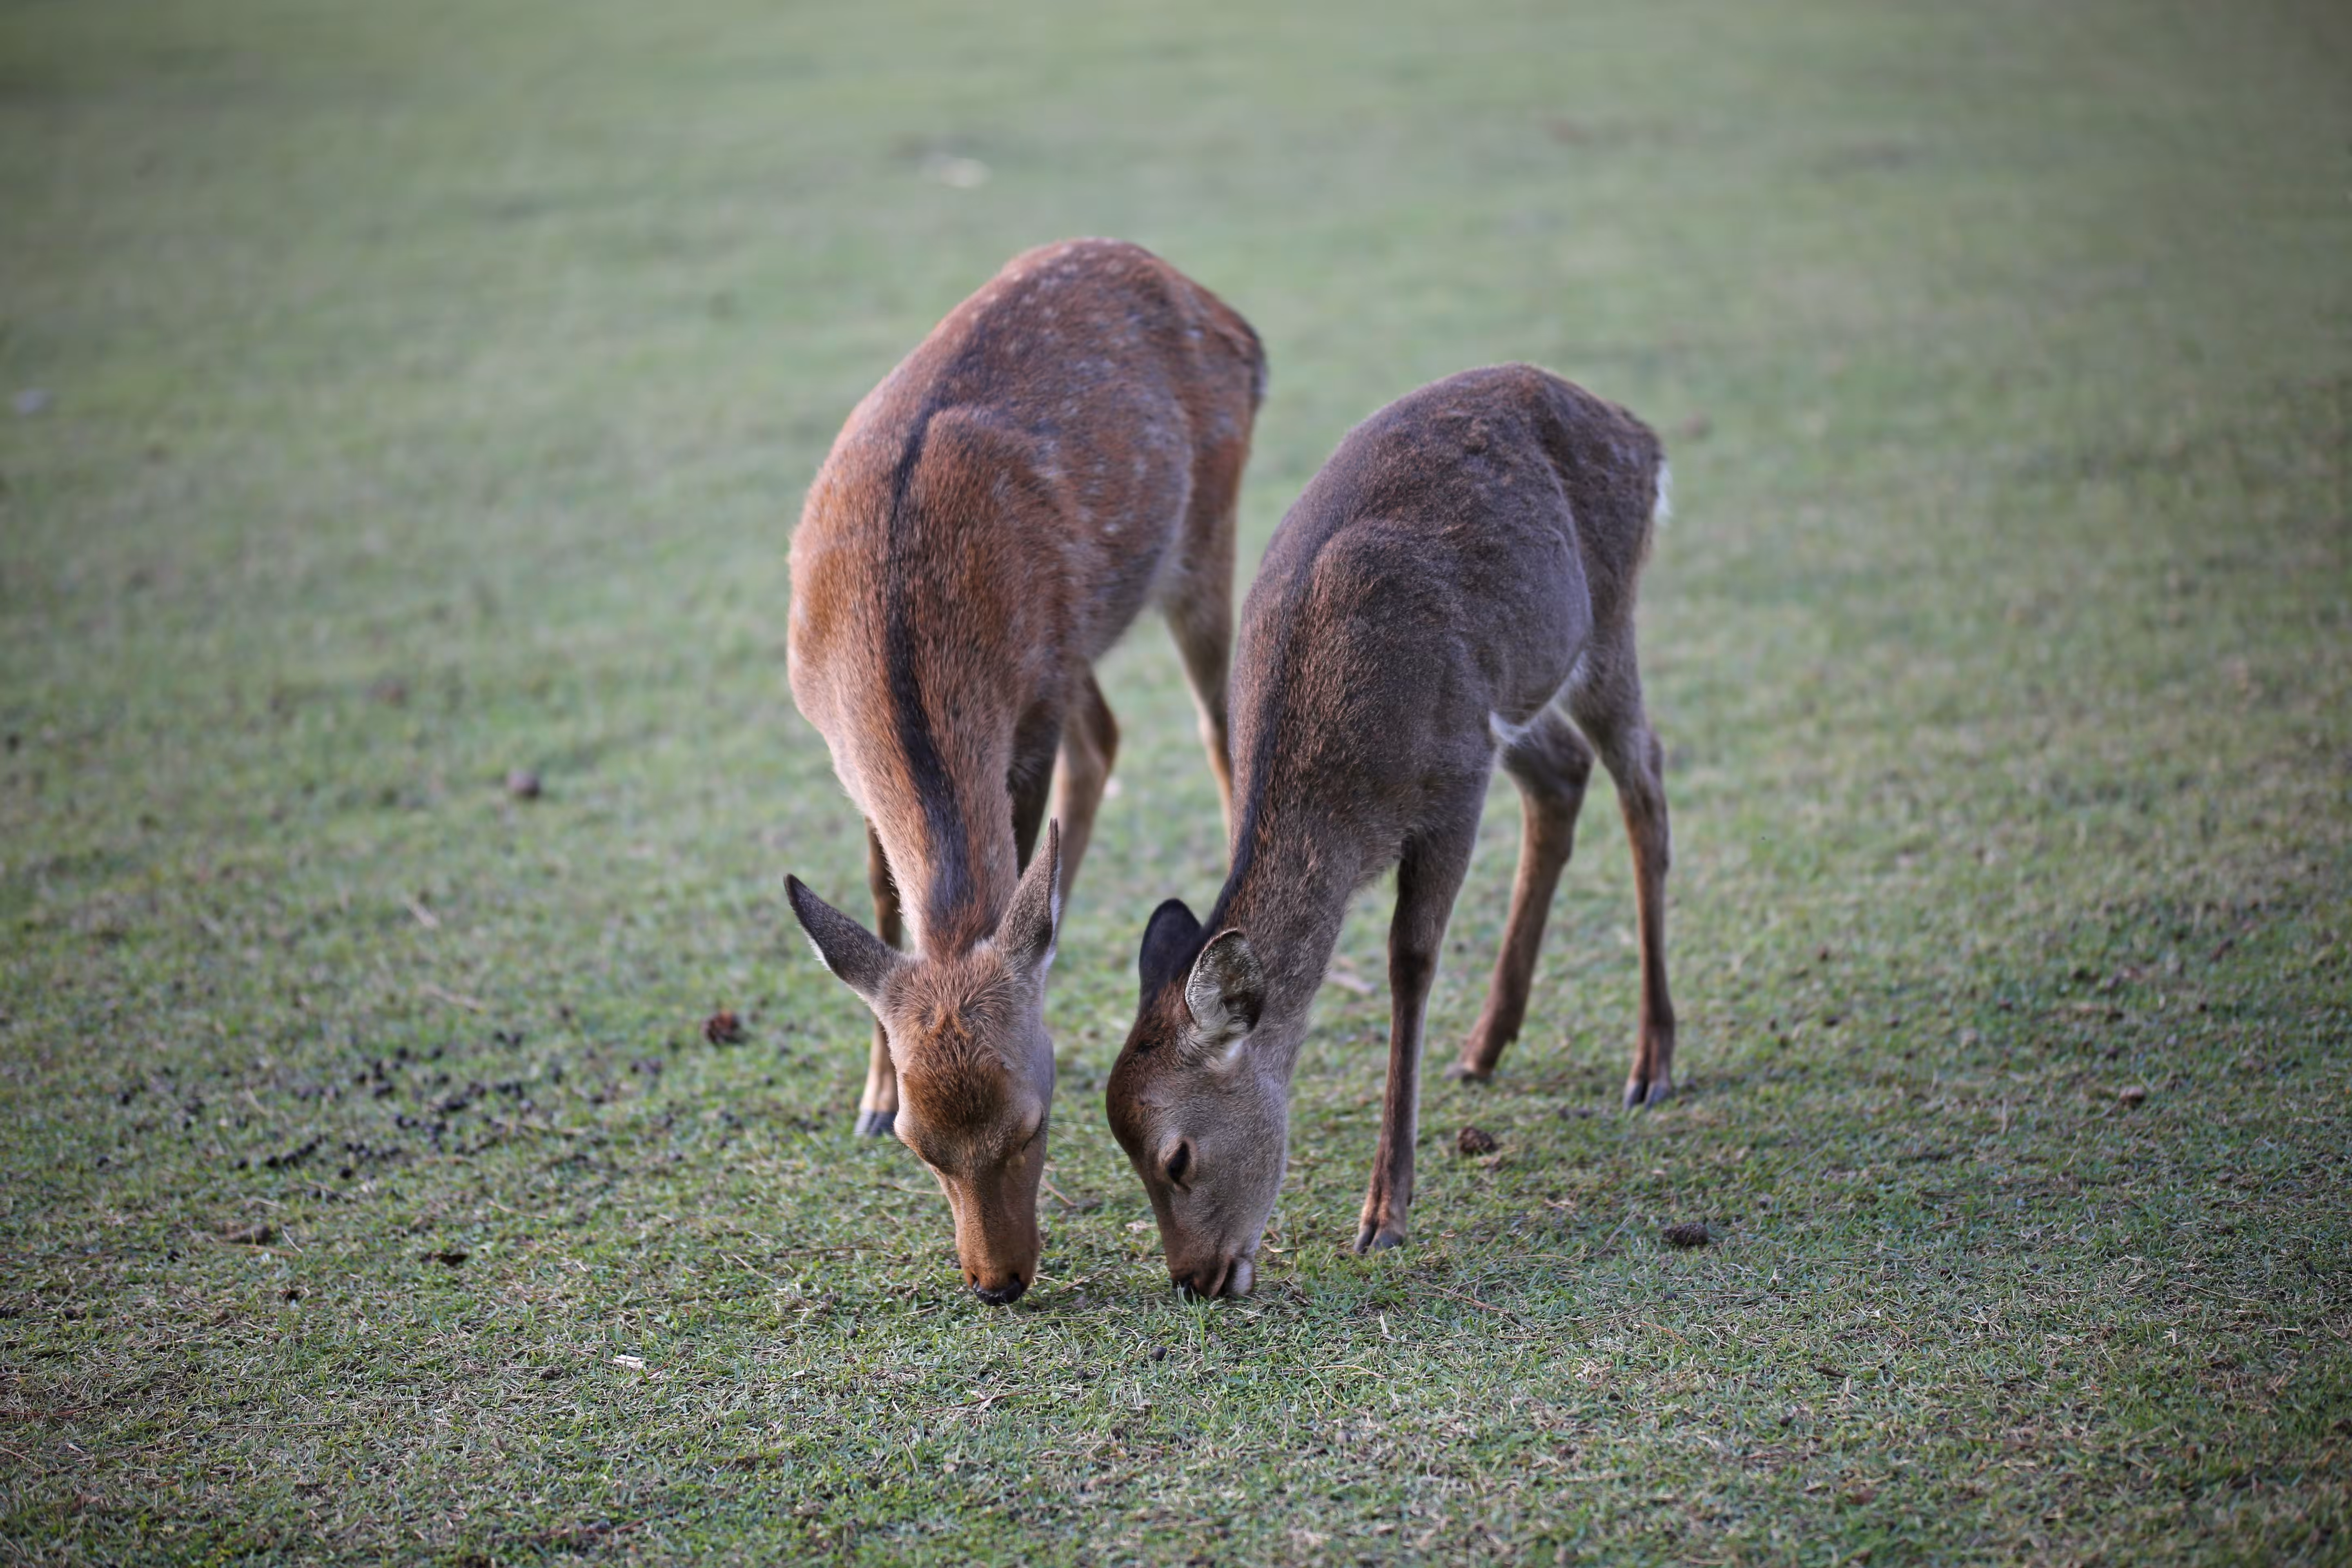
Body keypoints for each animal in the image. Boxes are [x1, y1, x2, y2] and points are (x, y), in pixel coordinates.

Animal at [782, 239, 1264, 1305]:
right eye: (919, 1144)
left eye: (1033, 1124)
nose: (996, 1280)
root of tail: (1226, 311)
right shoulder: (837, 747)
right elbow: (880, 894)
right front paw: (868, 1090)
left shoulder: (1030, 705)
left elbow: (1014, 845)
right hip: (1080, 633)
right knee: (1110, 734)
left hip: (1203, 534)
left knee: (1217, 726)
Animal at [1105, 363, 1676, 1298]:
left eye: (1177, 1157)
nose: (1196, 1279)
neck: (1348, 806)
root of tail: (1641, 436)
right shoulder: (1473, 743)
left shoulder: (1454, 784)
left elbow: (1409, 962)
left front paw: (1384, 1214)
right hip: (1511, 700)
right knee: (1564, 776)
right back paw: (1485, 1045)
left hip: (1605, 625)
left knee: (1647, 783)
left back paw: (1653, 1064)